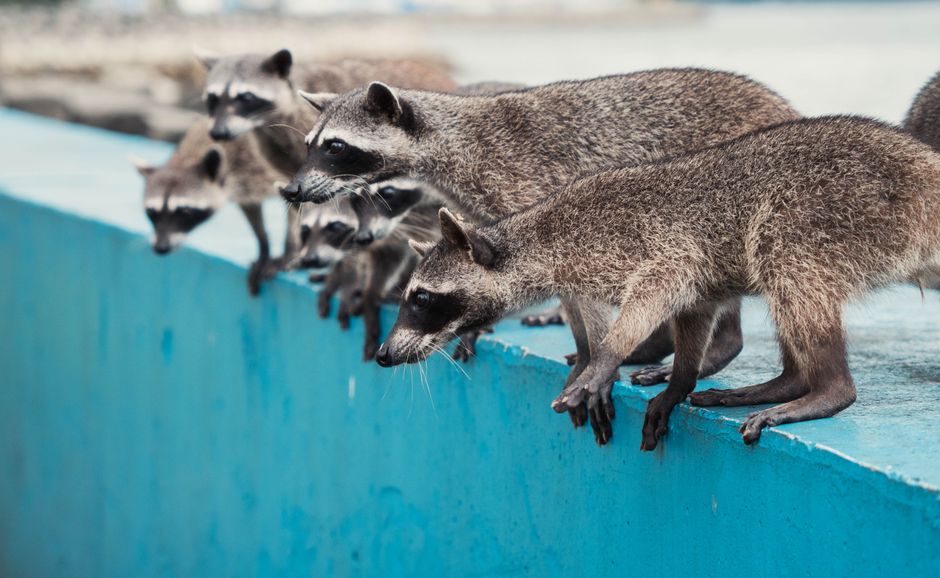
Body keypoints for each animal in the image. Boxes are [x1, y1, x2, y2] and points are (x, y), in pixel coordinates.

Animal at [133, 120, 286, 295]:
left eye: (184, 211)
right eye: (151, 212)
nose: (161, 247)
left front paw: (289, 254)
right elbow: (251, 208)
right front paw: (263, 247)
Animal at [285, 68, 799, 444]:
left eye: (335, 147)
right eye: (308, 146)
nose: (290, 190)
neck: (453, 140)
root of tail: (783, 105)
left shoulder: (538, 189)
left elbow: (576, 287)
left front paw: (593, 358)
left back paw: (718, 343)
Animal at [378, 116, 940, 449]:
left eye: (422, 299)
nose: (382, 355)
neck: (535, 238)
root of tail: (924, 169)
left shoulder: (653, 245)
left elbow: (657, 288)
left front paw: (605, 356)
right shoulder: (692, 277)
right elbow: (692, 312)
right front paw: (679, 380)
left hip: (839, 206)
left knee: (786, 260)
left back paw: (825, 389)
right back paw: (790, 380)